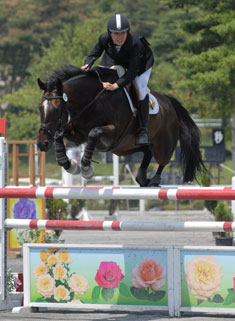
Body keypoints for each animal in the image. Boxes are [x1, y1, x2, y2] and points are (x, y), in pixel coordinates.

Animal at [36, 64, 204, 186]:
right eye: (40, 107)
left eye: (57, 108)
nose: (42, 143)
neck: (92, 101)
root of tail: (169, 103)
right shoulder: (77, 134)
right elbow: (59, 135)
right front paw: (70, 165)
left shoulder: (112, 133)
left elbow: (94, 133)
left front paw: (85, 168)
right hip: (127, 147)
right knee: (148, 152)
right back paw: (142, 178)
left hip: (163, 144)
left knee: (163, 160)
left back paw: (154, 180)